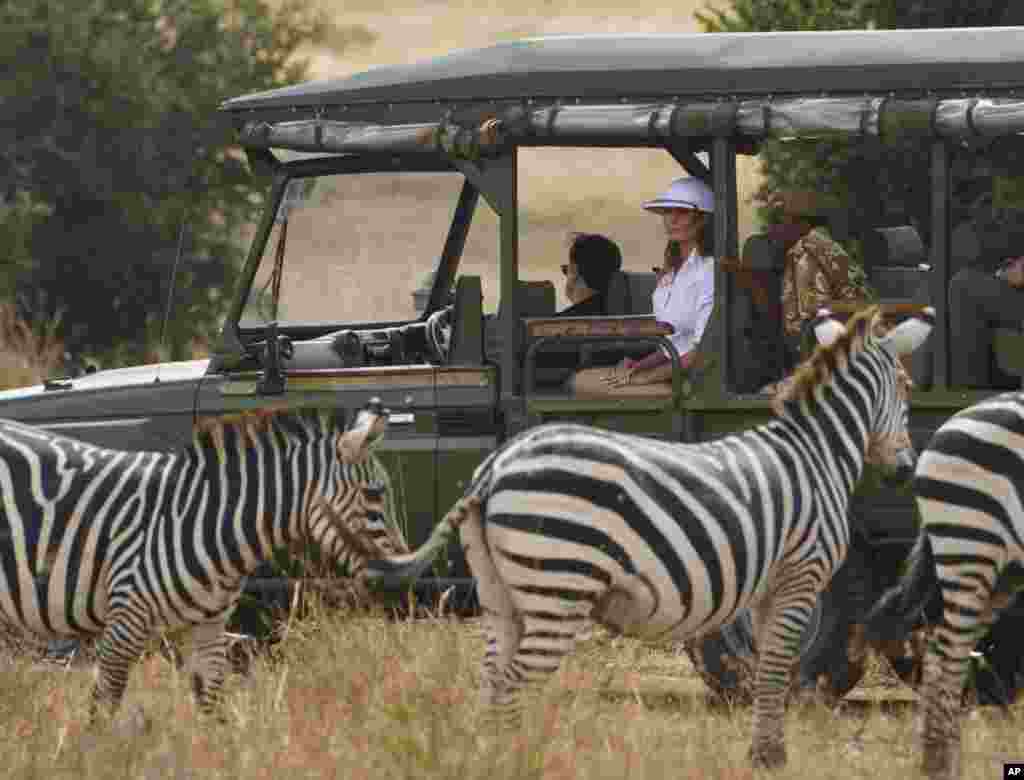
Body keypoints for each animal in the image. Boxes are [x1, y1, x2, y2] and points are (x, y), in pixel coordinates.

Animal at [0, 397, 452, 720]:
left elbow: (212, 712)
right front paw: (99, 760)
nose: (403, 583)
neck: (205, 520)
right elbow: (101, 711)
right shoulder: (124, 622)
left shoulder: (211, 628)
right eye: (375, 496)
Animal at [444, 305, 933, 765]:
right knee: (511, 683)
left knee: (492, 678)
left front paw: (763, 752)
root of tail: (497, 465)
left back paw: (491, 757)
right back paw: (516, 757)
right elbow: (778, 665)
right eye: (907, 387)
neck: (816, 454)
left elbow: (768, 671)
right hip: (558, 585)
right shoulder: (802, 574)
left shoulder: (768, 588)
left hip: (502, 594)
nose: (905, 470)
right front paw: (770, 756)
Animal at [868, 391, 1024, 777]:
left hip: (1002, 571)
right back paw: (940, 763)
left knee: (944, 651)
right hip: (971, 546)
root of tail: (954, 420)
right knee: (949, 653)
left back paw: (943, 759)